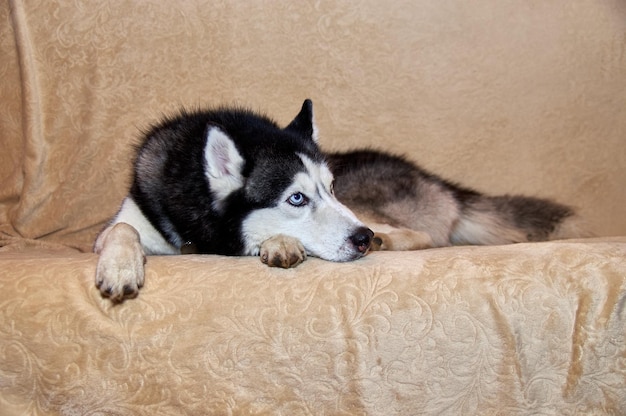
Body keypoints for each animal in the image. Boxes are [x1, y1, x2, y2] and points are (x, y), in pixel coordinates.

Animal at [95, 98, 584, 300]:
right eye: (295, 198)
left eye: (329, 188)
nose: (362, 239)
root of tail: (438, 181)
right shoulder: (129, 220)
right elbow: (121, 229)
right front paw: (120, 267)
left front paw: (279, 244)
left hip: (369, 205)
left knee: (422, 236)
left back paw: (390, 240)